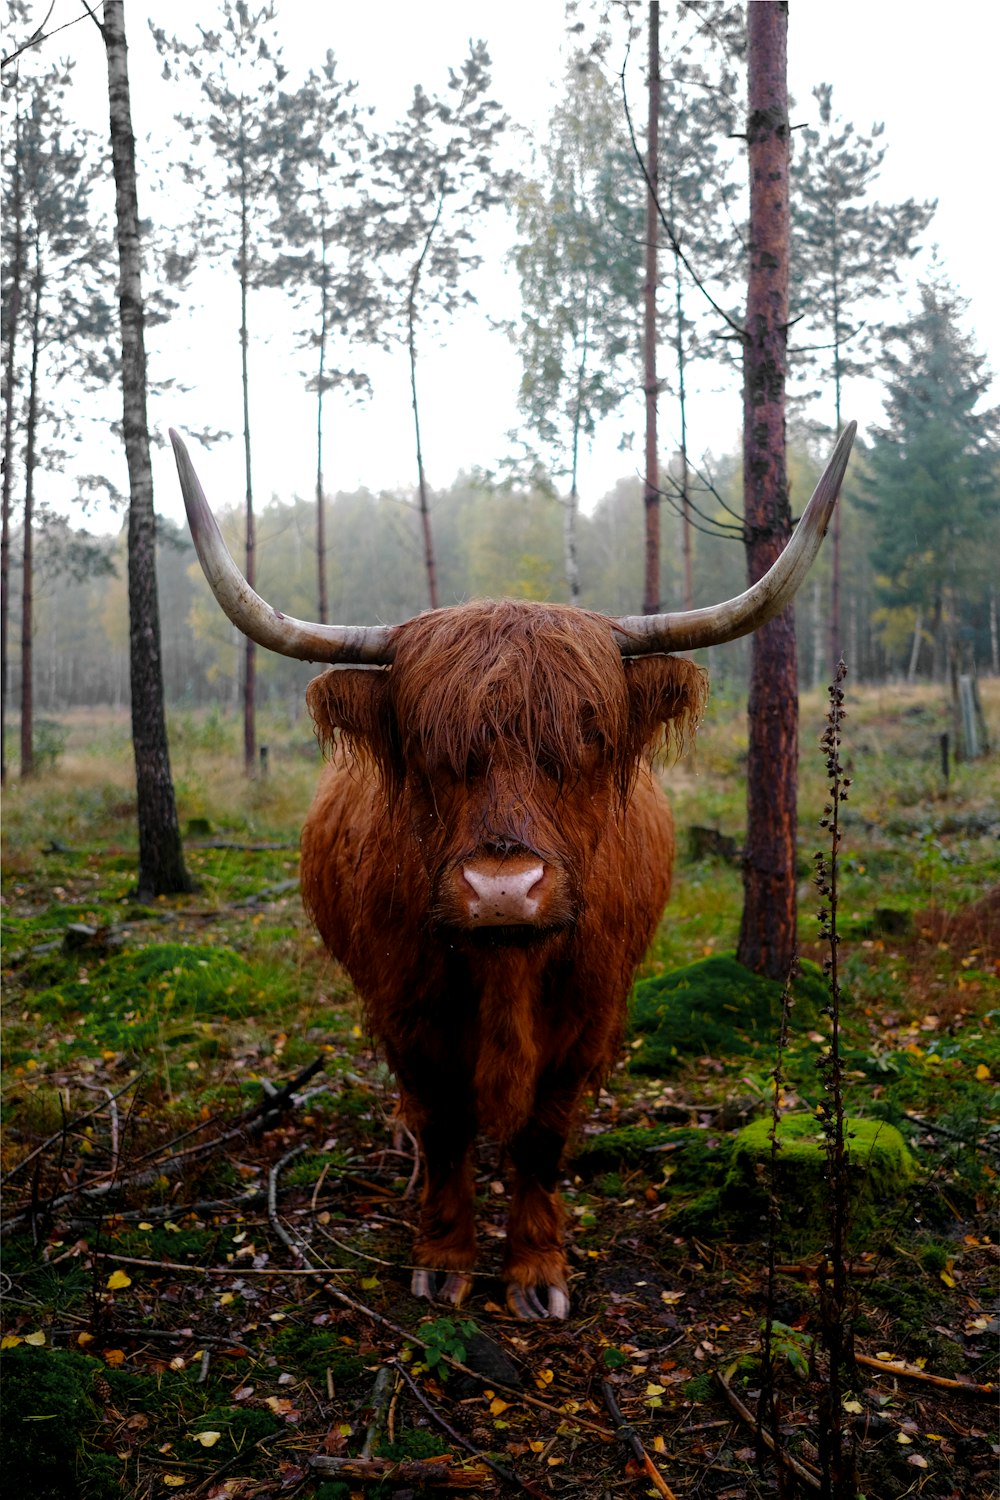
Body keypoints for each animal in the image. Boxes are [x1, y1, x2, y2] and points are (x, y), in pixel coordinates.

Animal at [170, 420, 851, 1314]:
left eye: (590, 737)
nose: (502, 891)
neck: (506, 969)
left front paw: (535, 1269)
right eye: (427, 745)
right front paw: (444, 1256)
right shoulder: (408, 1008)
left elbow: (541, 1136)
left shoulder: (590, 1014)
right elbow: (446, 1125)